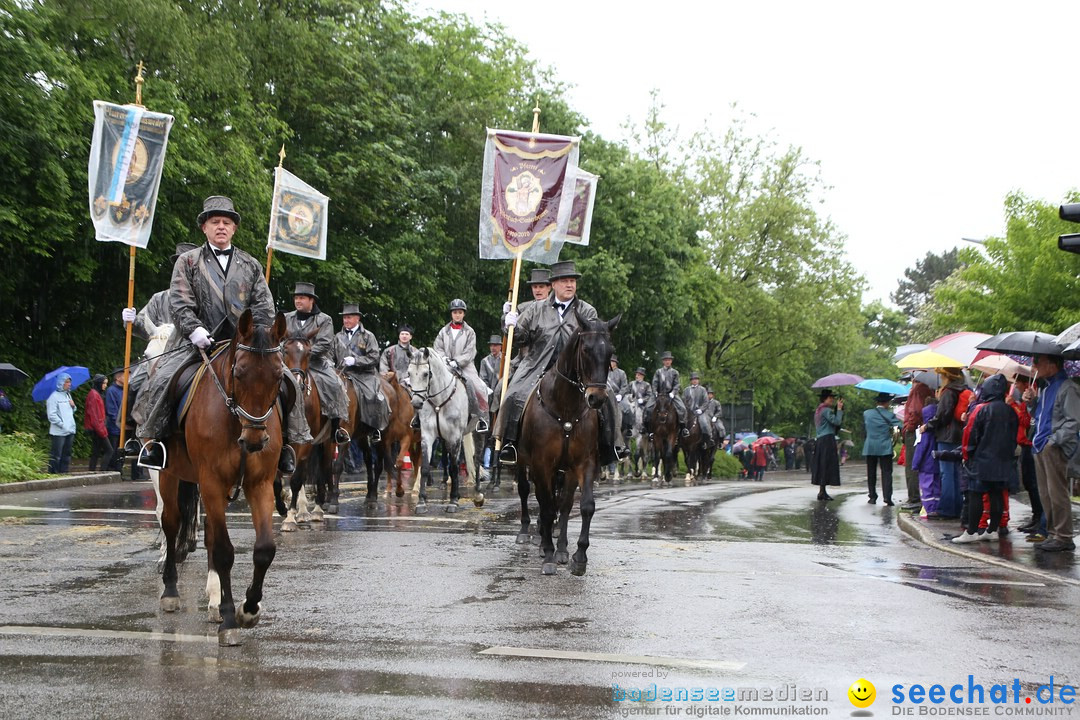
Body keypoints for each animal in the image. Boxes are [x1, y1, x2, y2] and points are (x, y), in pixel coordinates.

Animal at [157, 310, 287, 647]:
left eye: (279, 376)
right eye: (239, 373)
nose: (255, 441)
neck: (234, 421)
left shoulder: (260, 484)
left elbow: (264, 549)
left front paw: (248, 609)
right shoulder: (211, 483)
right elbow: (225, 552)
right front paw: (230, 620)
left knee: (210, 537)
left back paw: (215, 601)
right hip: (168, 474)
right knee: (171, 523)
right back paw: (171, 591)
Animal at [406, 347, 473, 511]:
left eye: (426, 374)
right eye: (409, 373)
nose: (416, 403)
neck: (439, 401)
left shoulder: (454, 437)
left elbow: (454, 468)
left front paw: (453, 501)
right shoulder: (428, 436)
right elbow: (424, 467)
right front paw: (421, 502)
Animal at [516, 313, 622, 578]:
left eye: (610, 351)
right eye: (585, 349)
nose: (597, 398)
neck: (566, 406)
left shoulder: (584, 463)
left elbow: (584, 506)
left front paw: (578, 556)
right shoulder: (542, 464)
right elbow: (546, 507)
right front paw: (548, 554)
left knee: (563, 504)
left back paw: (562, 548)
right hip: (524, 461)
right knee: (527, 491)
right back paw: (529, 534)